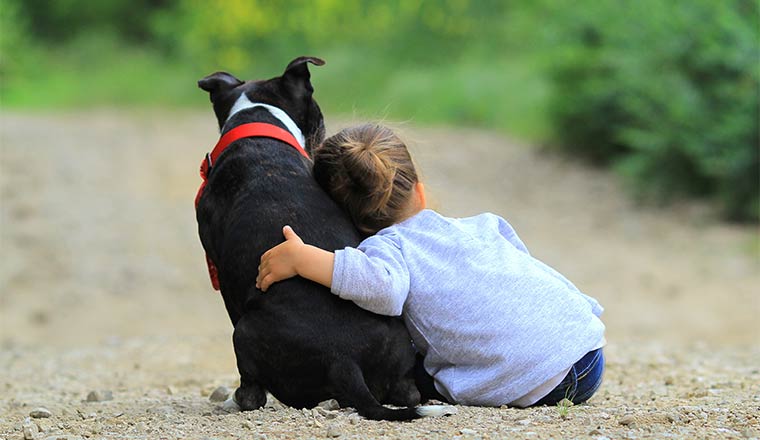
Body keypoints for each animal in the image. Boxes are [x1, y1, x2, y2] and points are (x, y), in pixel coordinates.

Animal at [194, 57, 452, 420]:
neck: (257, 123)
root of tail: (343, 360)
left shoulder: (223, 276)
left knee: (253, 394)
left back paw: (235, 400)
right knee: (407, 392)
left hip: (242, 333)